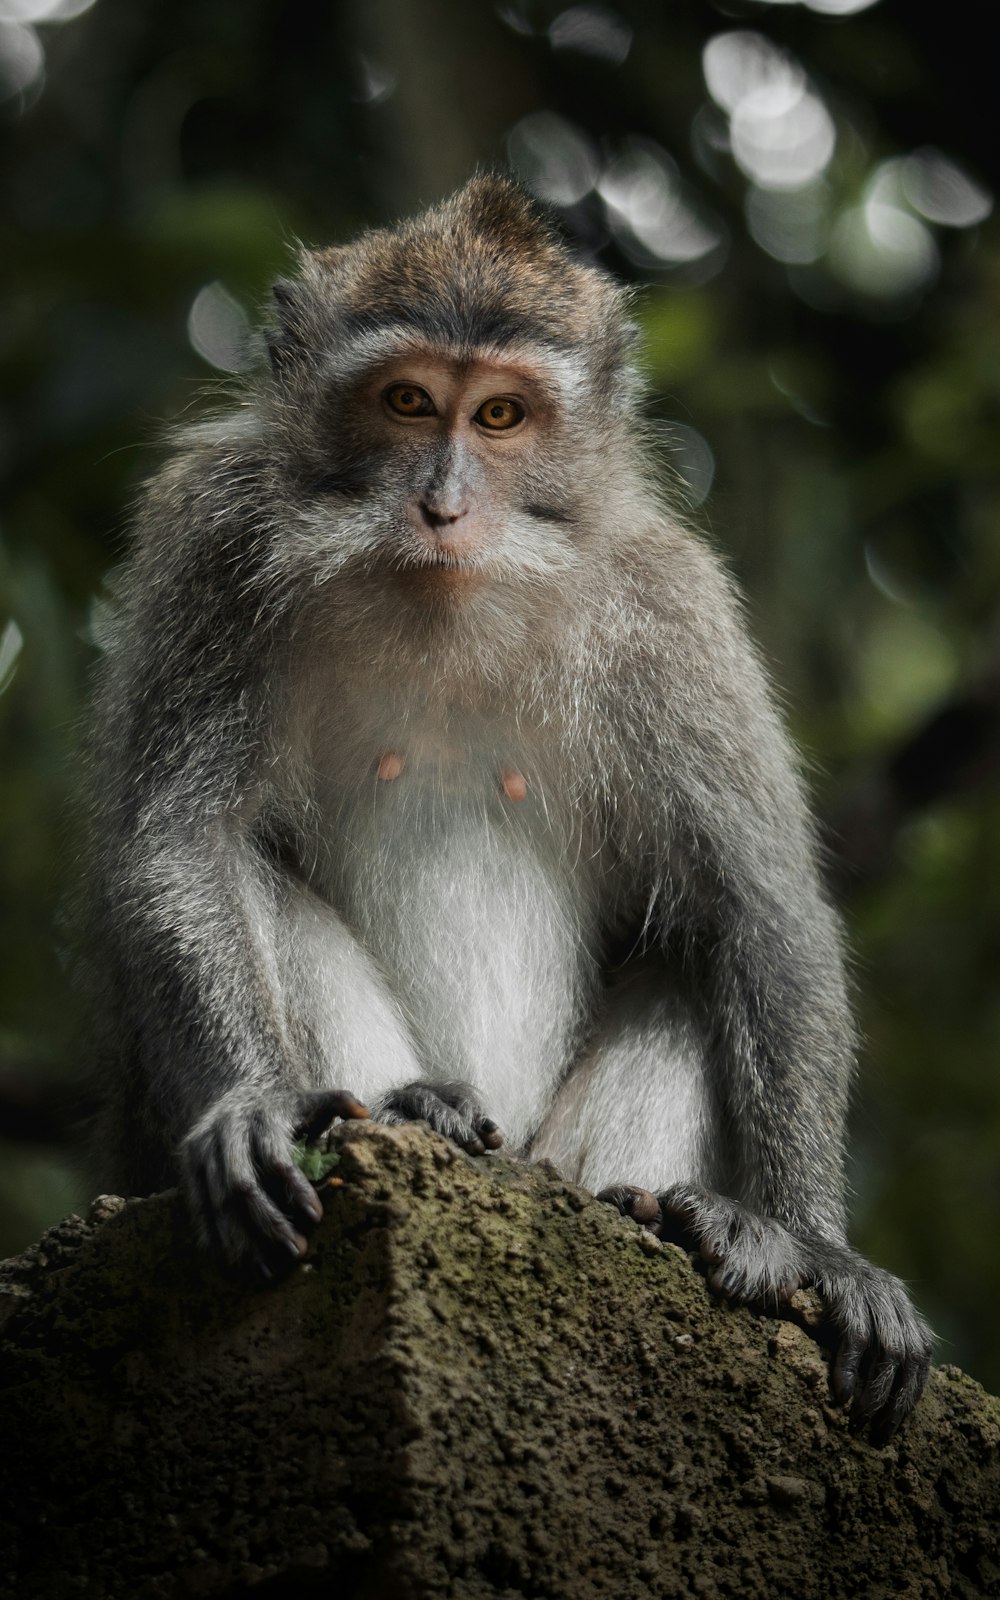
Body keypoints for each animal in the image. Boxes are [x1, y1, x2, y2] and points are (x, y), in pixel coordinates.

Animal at [85, 172, 928, 1440]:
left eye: (499, 418)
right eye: (405, 400)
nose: (443, 505)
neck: (447, 600)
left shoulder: (669, 610)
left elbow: (760, 909)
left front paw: (819, 1250)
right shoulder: (214, 542)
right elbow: (188, 839)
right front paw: (249, 1105)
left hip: (554, 1151)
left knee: (693, 959)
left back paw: (671, 1218)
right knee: (251, 878)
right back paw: (411, 1111)